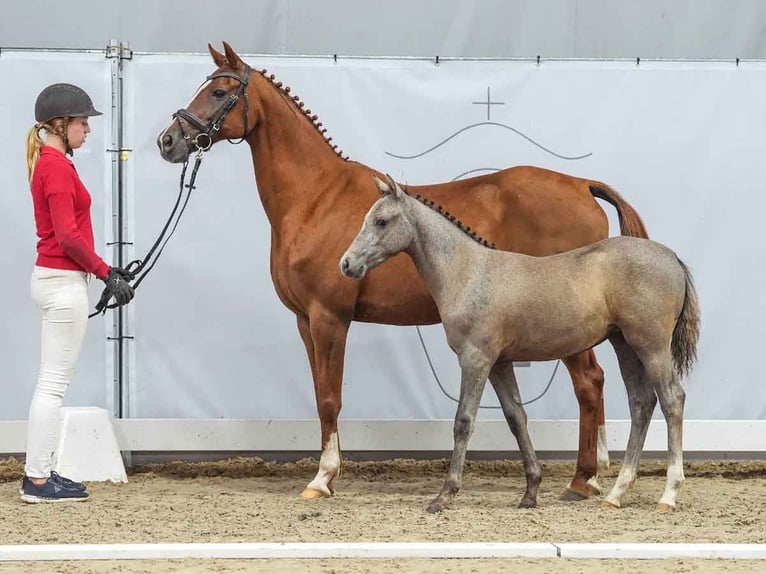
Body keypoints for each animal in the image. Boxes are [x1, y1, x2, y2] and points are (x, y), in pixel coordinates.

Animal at [159, 42, 652, 502]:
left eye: (218, 91)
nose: (168, 140)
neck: (316, 197)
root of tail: (580, 184)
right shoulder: (305, 321)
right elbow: (320, 395)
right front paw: (328, 472)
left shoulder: (329, 317)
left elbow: (330, 396)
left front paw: (323, 478)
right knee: (594, 383)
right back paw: (589, 476)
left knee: (588, 384)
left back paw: (581, 480)